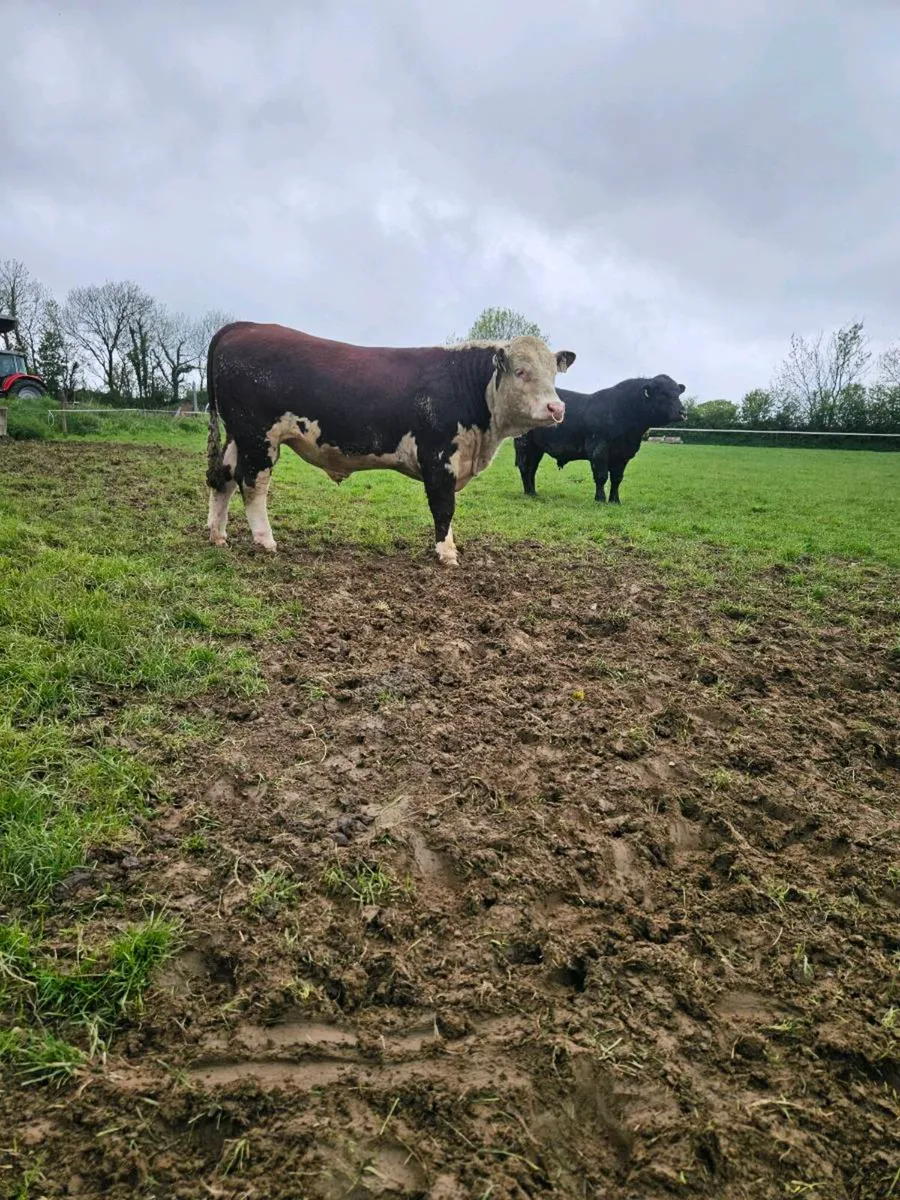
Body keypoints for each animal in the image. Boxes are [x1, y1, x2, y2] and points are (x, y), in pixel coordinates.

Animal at [205, 322, 576, 566]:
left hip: (239, 436)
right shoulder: (438, 458)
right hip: (259, 437)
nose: (557, 408)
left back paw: (218, 536)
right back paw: (265, 541)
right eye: (521, 371)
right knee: (252, 484)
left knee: (223, 478)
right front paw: (447, 553)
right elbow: (443, 507)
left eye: (553, 374)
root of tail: (243, 326)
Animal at [513, 373, 686, 504]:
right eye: (663, 393)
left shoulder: (623, 455)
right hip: (524, 444)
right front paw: (600, 499)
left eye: (678, 393)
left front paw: (615, 500)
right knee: (525, 467)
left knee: (532, 468)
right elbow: (601, 476)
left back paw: (532, 492)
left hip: (536, 448)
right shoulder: (599, 449)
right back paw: (529, 492)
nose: (683, 412)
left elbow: (617, 478)